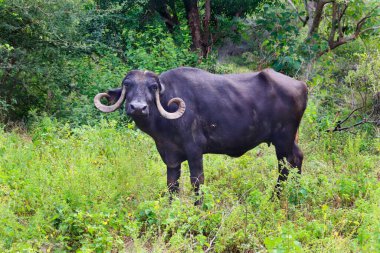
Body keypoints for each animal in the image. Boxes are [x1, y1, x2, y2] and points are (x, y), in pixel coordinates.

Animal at [95, 66, 308, 203]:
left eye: (153, 87)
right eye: (127, 85)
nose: (138, 108)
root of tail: (301, 85)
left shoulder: (194, 151)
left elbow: (197, 182)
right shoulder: (171, 157)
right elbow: (172, 185)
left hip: (282, 141)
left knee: (284, 167)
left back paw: (275, 199)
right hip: (290, 140)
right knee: (298, 158)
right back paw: (297, 193)